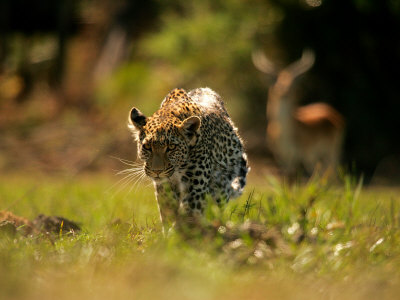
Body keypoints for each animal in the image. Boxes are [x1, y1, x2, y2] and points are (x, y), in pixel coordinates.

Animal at [128, 88, 248, 229]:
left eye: (171, 147)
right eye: (147, 147)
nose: (157, 171)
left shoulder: (195, 186)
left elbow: (188, 213)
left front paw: (178, 232)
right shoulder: (165, 187)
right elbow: (168, 212)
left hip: (222, 188)